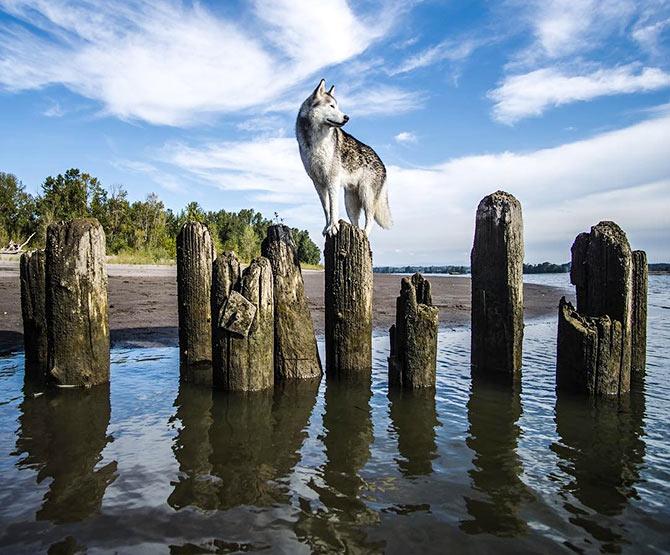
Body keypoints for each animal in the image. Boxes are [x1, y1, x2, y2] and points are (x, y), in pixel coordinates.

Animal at [296, 79, 394, 236]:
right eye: (331, 106)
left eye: (337, 106)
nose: (346, 117)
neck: (315, 141)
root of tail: (382, 163)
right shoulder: (318, 183)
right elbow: (326, 208)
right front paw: (327, 227)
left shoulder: (333, 180)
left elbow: (333, 207)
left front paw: (333, 227)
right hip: (350, 202)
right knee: (355, 223)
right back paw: (357, 231)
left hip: (366, 195)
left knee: (370, 218)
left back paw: (364, 234)